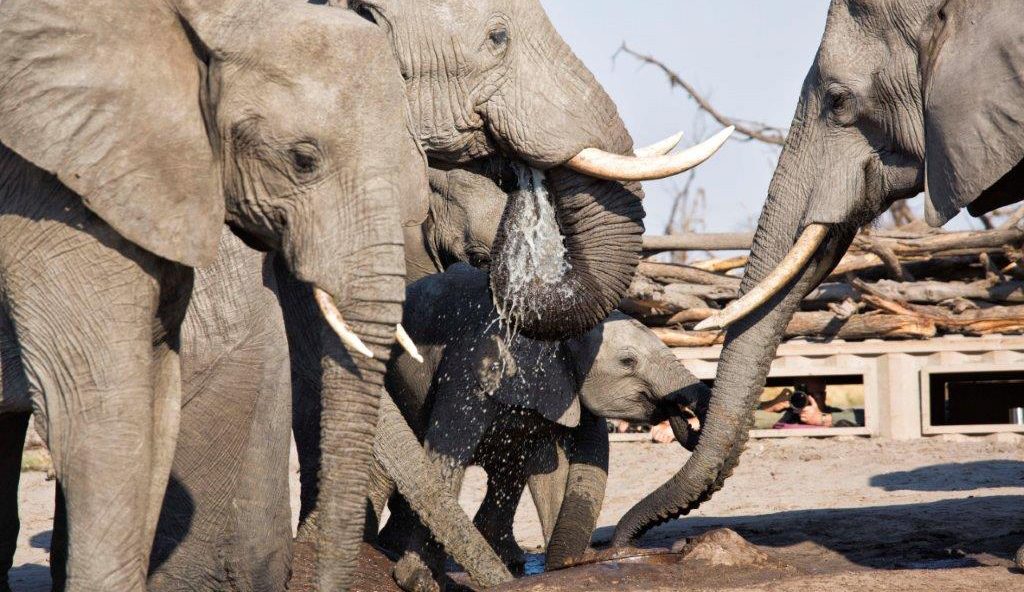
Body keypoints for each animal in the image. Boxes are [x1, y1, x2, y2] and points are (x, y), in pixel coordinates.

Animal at [372, 264, 708, 585]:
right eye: (628, 361)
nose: (680, 414)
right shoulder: (469, 371)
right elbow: (448, 452)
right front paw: (420, 580)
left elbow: (549, 469)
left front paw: (565, 567)